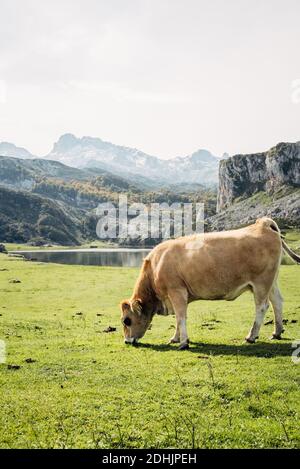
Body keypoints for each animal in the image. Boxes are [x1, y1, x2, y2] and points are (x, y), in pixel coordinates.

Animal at [120, 218, 300, 348]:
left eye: (126, 320)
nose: (126, 342)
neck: (155, 265)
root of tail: (263, 223)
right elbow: (178, 318)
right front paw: (176, 338)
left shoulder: (176, 291)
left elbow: (180, 316)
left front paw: (183, 343)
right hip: (271, 281)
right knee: (277, 302)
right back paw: (277, 332)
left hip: (261, 282)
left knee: (262, 307)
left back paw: (251, 336)